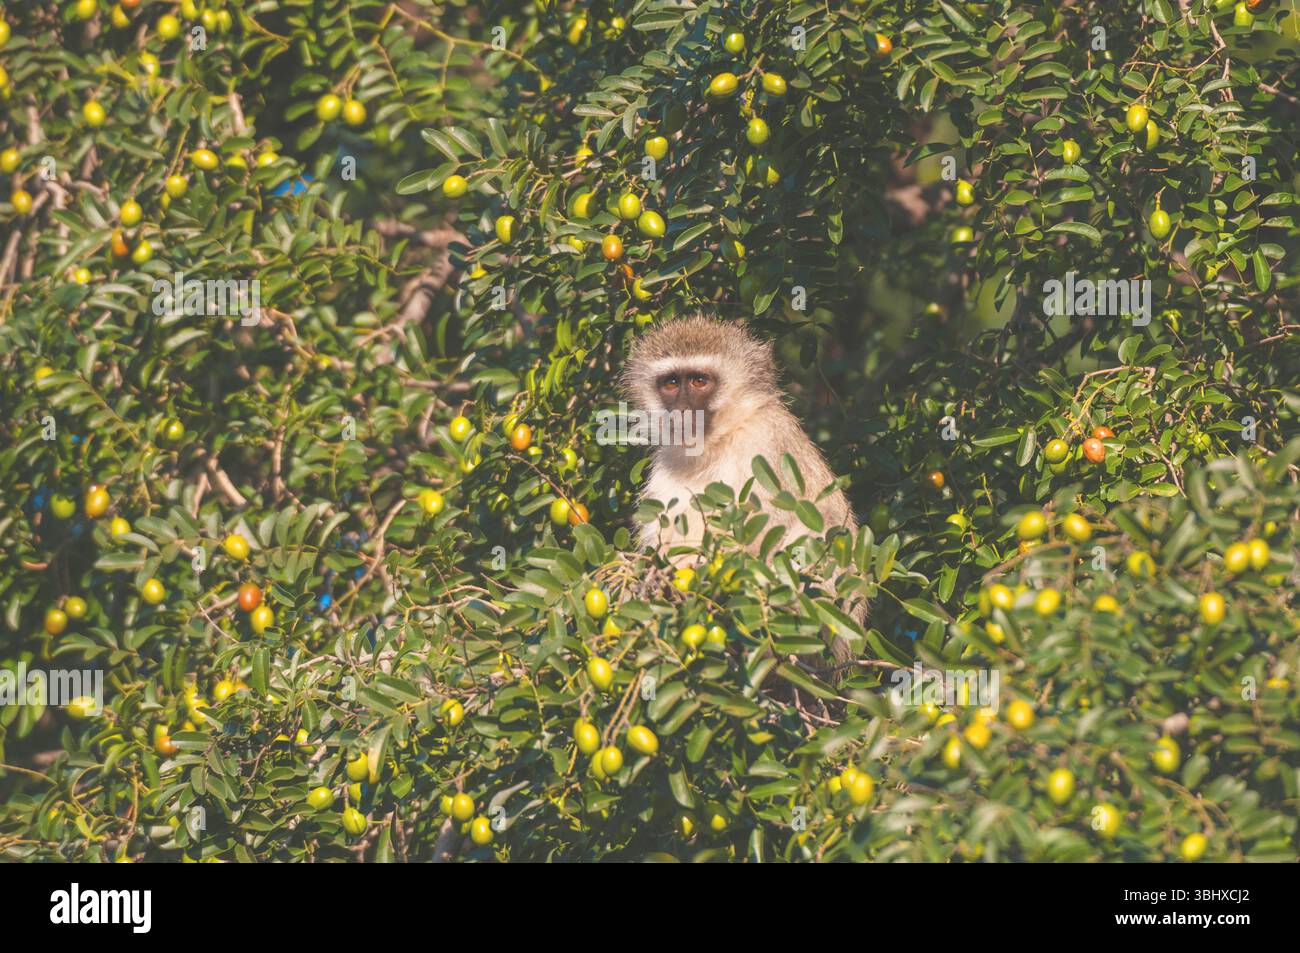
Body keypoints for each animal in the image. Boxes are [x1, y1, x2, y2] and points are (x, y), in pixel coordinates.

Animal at [623, 313, 862, 663]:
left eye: (699, 381)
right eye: (671, 383)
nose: (682, 412)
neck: (718, 441)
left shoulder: (764, 444)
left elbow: (767, 537)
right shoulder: (664, 466)